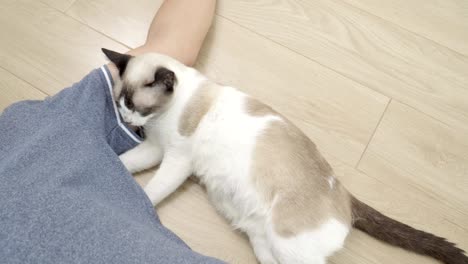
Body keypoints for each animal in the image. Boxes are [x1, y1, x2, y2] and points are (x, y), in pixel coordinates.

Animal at [102, 48, 468, 264]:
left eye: (136, 106)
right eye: (120, 102)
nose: (128, 120)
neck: (165, 115)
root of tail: (346, 196)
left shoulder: (176, 159)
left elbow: (151, 192)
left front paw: (135, 200)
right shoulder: (154, 149)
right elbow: (127, 163)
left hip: (288, 247)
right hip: (265, 246)